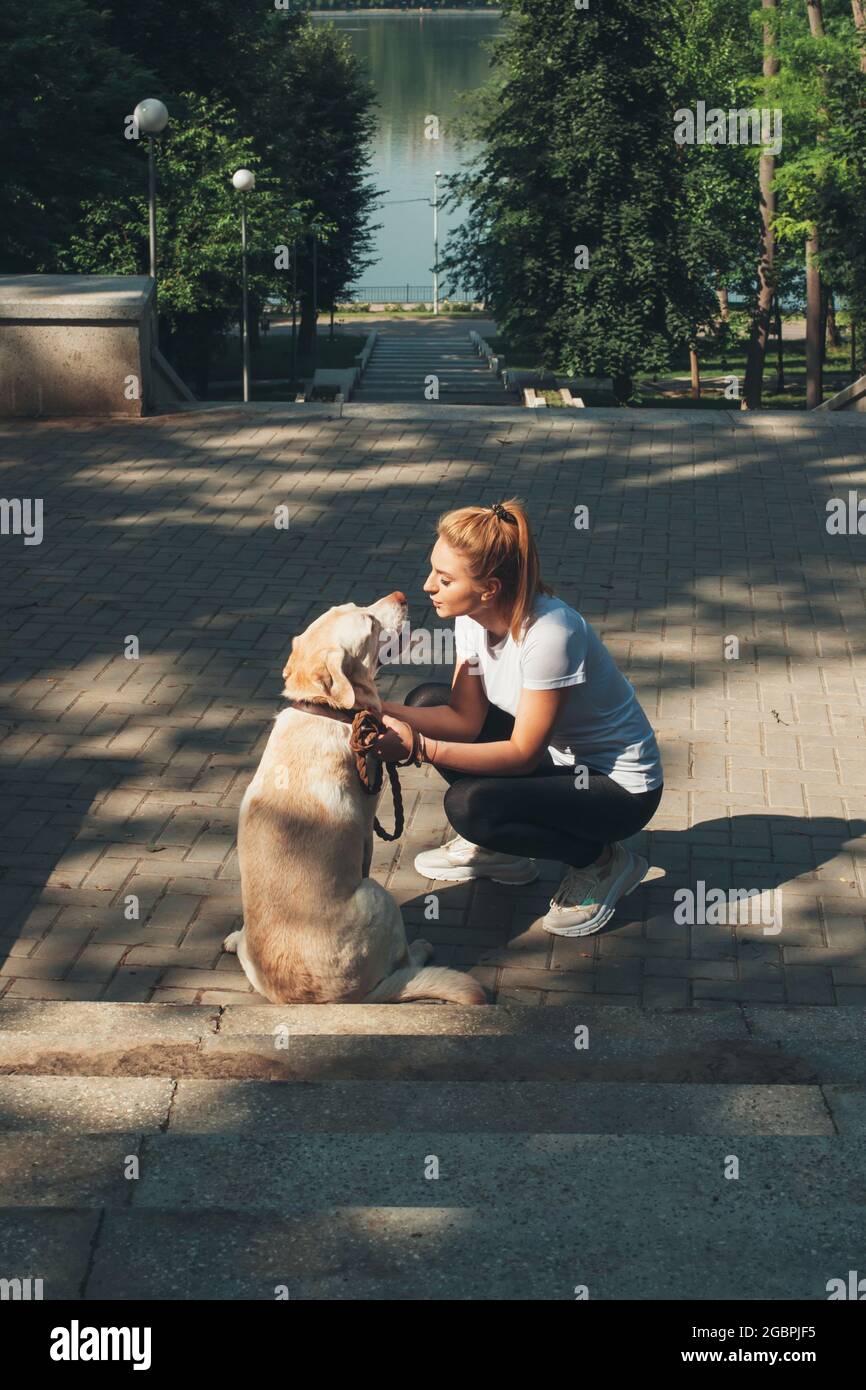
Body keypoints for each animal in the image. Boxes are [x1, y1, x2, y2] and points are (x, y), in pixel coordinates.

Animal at [223, 592, 489, 1006]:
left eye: (352, 606)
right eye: (370, 623)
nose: (401, 595)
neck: (324, 710)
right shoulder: (365, 831)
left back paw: (236, 939)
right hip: (378, 896)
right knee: (402, 966)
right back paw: (421, 951)